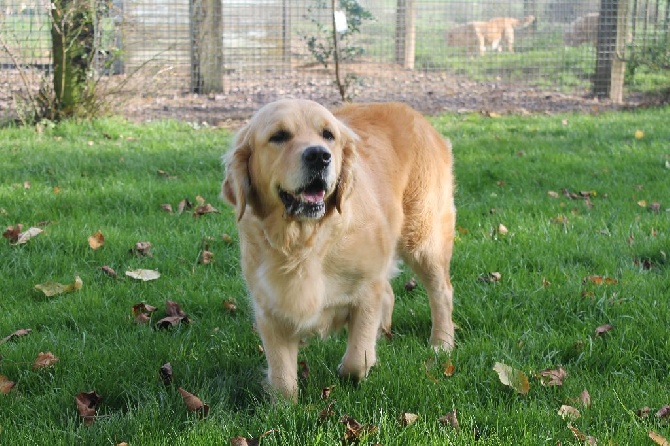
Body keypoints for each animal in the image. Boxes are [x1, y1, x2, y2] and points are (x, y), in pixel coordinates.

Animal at [223, 100, 460, 400]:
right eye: (278, 136)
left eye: (328, 135)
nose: (319, 156)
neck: (304, 244)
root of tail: (419, 117)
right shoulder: (270, 308)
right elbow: (283, 379)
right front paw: (283, 405)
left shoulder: (366, 289)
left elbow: (356, 359)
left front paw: (358, 367)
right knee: (391, 294)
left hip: (424, 240)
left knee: (441, 292)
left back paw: (442, 342)